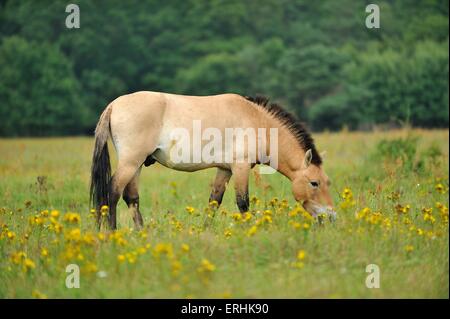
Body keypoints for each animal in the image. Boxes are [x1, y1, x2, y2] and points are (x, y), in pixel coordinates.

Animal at [89, 91, 336, 231]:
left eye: (327, 182)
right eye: (314, 183)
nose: (331, 217)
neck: (257, 122)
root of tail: (114, 105)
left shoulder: (224, 170)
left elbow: (214, 202)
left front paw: (205, 231)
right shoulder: (240, 167)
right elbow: (243, 202)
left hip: (137, 164)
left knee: (132, 198)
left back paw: (142, 234)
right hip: (131, 162)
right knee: (113, 192)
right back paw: (111, 233)